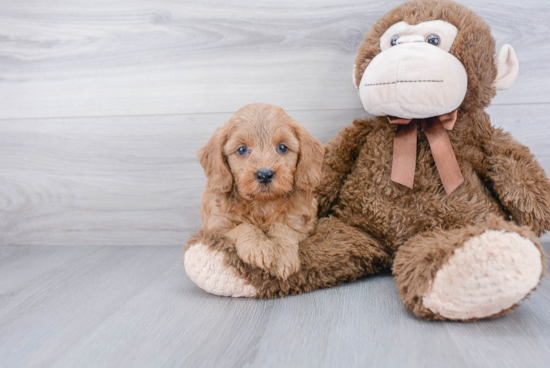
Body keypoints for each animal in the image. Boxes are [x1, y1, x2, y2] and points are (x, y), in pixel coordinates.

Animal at [198, 103, 326, 278]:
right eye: (242, 150)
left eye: (282, 147)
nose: (265, 174)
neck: (263, 204)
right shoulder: (215, 228)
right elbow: (243, 227)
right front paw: (259, 247)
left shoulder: (301, 221)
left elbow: (282, 227)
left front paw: (282, 255)